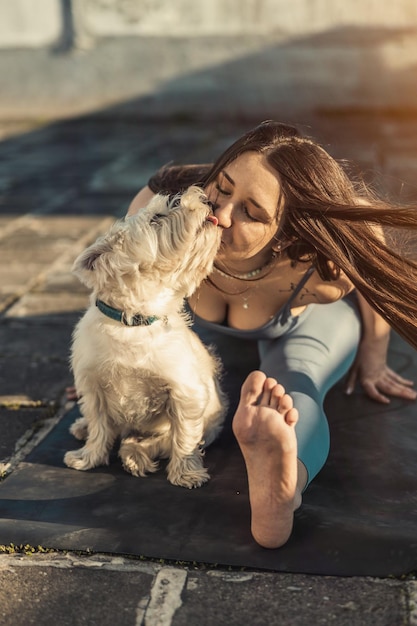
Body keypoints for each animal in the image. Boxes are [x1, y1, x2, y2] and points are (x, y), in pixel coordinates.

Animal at [64, 185, 228, 488]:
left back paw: (134, 456)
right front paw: (88, 458)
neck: (133, 323)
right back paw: (83, 428)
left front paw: (186, 474)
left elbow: (183, 437)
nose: (208, 200)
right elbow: (99, 426)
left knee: (145, 441)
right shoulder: (93, 386)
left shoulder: (185, 393)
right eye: (157, 218)